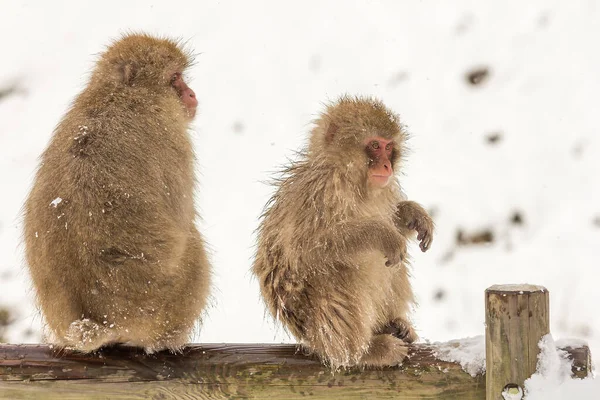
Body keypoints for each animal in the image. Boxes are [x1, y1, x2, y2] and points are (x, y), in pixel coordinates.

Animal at [22, 34, 211, 354]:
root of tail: (103, 323)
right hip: (164, 303)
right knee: (194, 251)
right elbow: (181, 214)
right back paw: (167, 342)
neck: (117, 93)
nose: (192, 95)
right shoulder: (171, 135)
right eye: (175, 78)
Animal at [251, 96, 434, 368]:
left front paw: (413, 214)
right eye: (375, 145)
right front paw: (381, 234)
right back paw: (363, 352)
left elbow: (392, 217)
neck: (355, 180)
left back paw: (394, 325)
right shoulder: (321, 191)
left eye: (389, 147)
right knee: (338, 277)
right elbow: (306, 249)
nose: (387, 165)